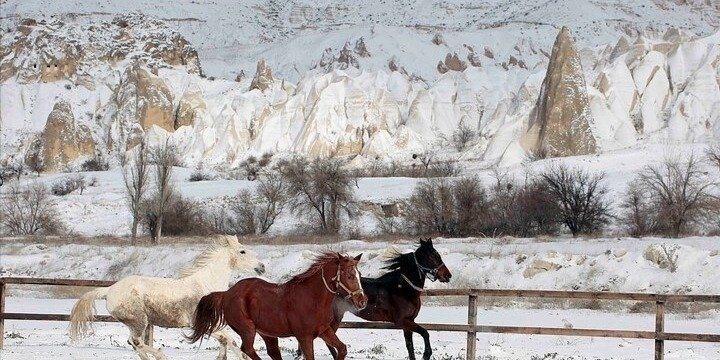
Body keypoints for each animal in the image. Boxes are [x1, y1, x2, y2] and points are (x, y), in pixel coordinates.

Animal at [70, 235, 264, 358]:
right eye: (242, 251)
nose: (262, 266)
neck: (207, 285)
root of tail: (109, 290)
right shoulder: (200, 324)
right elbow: (231, 341)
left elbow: (225, 341)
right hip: (139, 321)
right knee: (136, 342)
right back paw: (162, 356)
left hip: (135, 323)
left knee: (134, 343)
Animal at [187, 252, 366, 360]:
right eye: (350, 276)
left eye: (359, 274)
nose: (362, 301)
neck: (312, 298)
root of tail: (226, 293)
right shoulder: (304, 336)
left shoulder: (324, 330)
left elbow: (342, 349)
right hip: (248, 329)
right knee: (248, 350)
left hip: (267, 333)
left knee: (271, 352)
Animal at [300, 238, 452, 358]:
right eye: (432, 257)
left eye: (438, 255)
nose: (447, 275)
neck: (402, 288)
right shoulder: (402, 321)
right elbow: (425, 333)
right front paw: (427, 354)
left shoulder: (409, 322)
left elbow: (410, 347)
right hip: (334, 319)